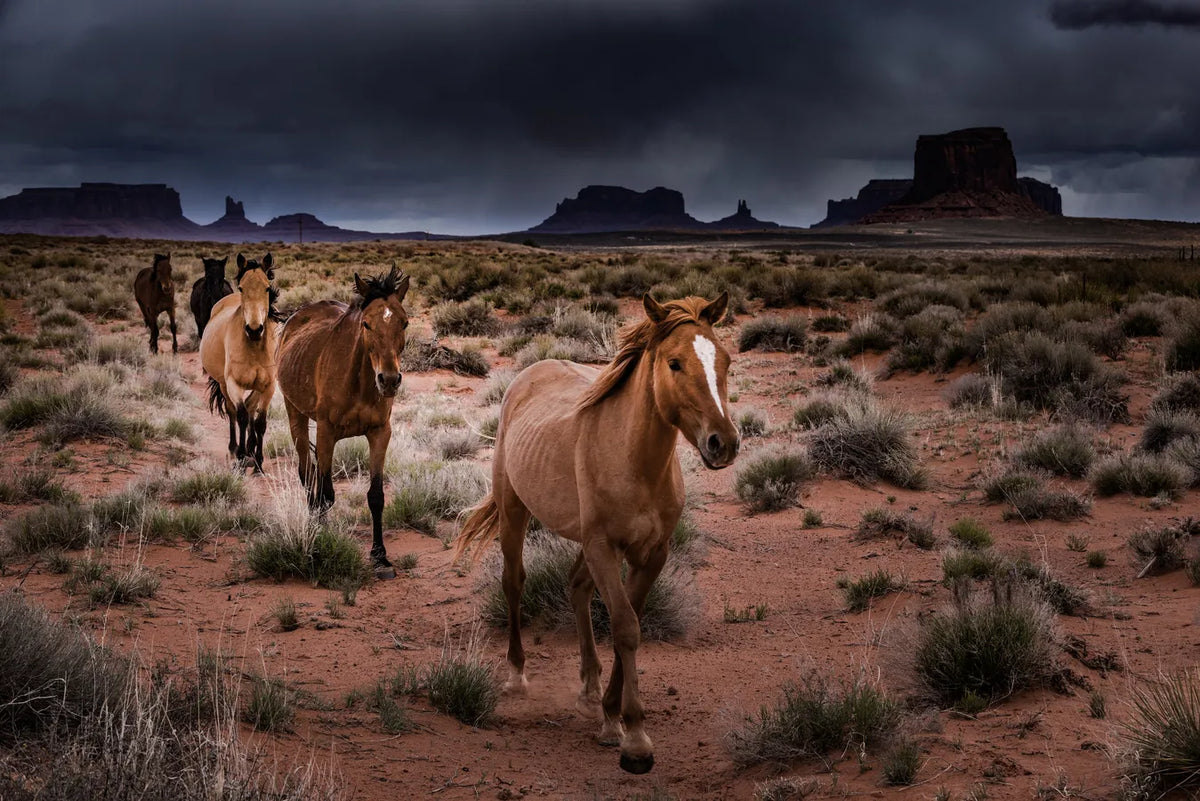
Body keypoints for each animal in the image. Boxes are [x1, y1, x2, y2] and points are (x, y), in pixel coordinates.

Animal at [200, 253, 280, 473]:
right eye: (242, 288)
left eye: (267, 288)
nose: (254, 329)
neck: (254, 347)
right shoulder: (234, 384)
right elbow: (242, 417)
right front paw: (241, 457)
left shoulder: (268, 386)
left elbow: (260, 422)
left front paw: (258, 462)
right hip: (223, 385)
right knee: (233, 412)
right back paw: (235, 449)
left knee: (251, 407)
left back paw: (251, 450)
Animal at [275, 266, 410, 576]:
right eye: (367, 324)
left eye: (405, 323)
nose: (389, 380)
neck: (358, 382)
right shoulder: (326, 433)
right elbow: (325, 493)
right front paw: (319, 547)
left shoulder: (380, 433)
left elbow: (376, 496)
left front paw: (379, 555)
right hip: (296, 415)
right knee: (306, 473)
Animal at [453, 292, 740, 775]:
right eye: (675, 363)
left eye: (725, 360)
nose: (724, 443)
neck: (634, 459)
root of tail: (529, 373)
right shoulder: (605, 547)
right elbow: (625, 627)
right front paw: (635, 740)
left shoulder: (652, 554)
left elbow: (632, 621)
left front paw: (610, 714)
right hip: (515, 512)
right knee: (514, 583)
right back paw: (517, 674)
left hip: (583, 542)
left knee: (576, 587)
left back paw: (588, 687)